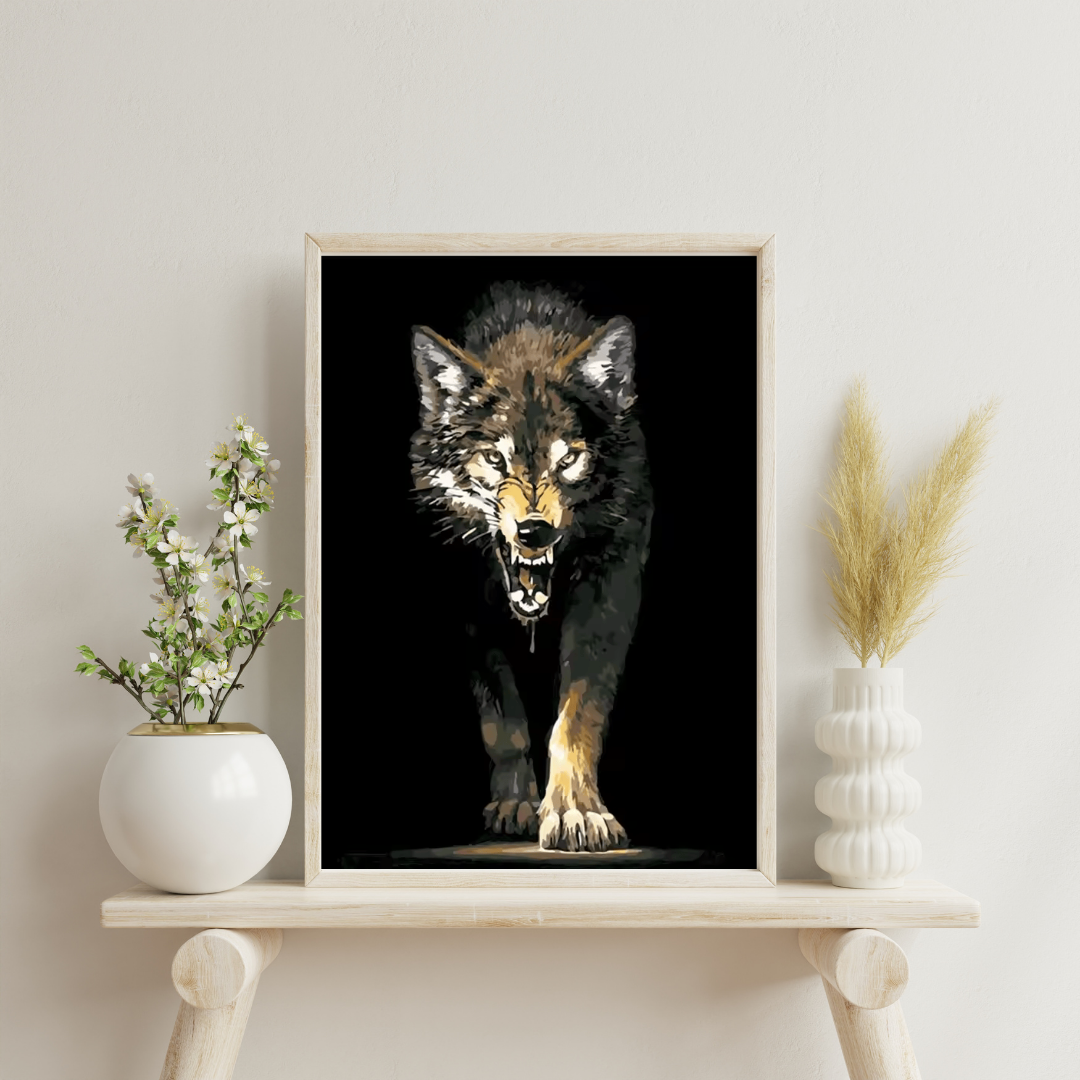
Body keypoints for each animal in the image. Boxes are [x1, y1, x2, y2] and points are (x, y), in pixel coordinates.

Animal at [410, 282, 652, 853]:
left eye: (567, 460)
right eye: (495, 460)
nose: (533, 532)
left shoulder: (610, 591)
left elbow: (577, 717)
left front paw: (576, 811)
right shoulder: (469, 612)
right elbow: (505, 721)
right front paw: (516, 803)